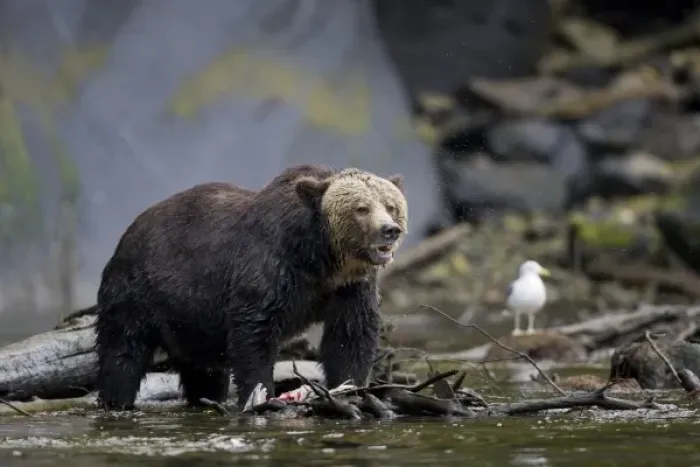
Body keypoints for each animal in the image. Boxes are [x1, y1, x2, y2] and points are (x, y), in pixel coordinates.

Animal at [94, 164, 408, 410]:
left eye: (391, 205)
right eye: (361, 208)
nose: (389, 230)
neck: (320, 258)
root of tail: (128, 231)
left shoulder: (350, 287)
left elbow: (350, 335)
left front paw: (350, 388)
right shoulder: (270, 268)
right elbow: (254, 332)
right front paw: (260, 396)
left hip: (190, 321)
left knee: (204, 370)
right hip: (139, 291)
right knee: (123, 351)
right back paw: (116, 400)